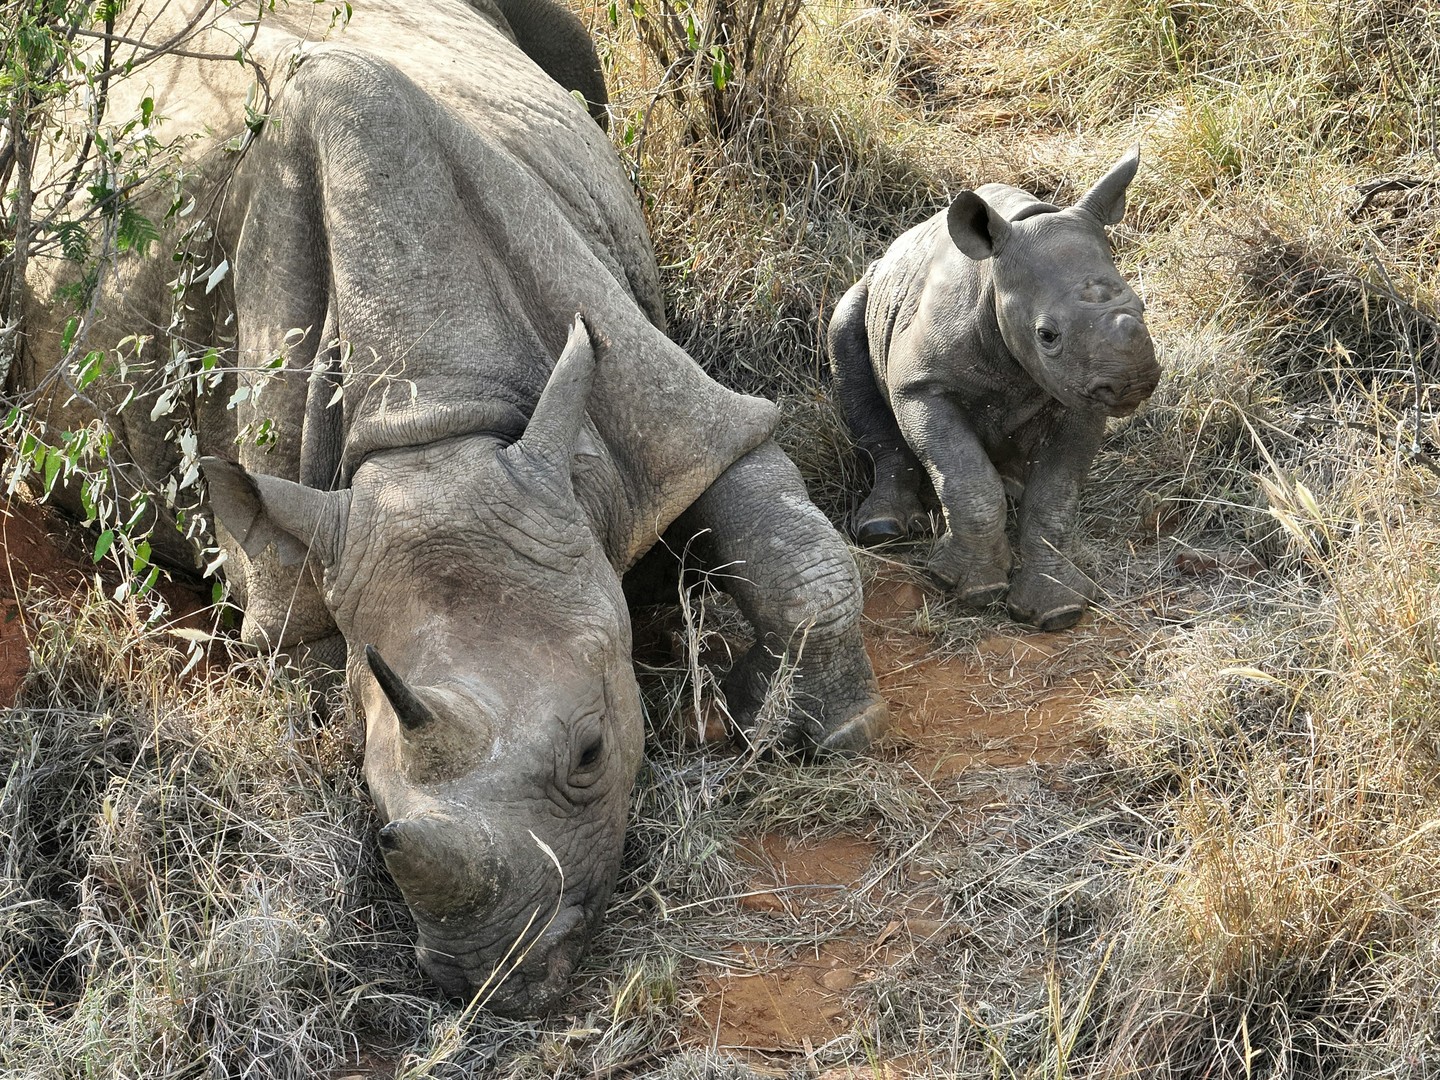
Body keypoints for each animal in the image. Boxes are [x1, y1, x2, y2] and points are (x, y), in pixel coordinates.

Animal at [22, 0, 886, 1015]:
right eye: (374, 802)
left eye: (593, 752)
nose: (492, 978)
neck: (433, 429)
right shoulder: (304, 567)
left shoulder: (667, 404)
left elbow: (787, 544)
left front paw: (812, 731)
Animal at [827, 152, 1160, 630]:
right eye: (1046, 335)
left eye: (1143, 308)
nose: (1132, 381)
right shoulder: (921, 386)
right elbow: (965, 475)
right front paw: (970, 588)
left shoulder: (1079, 397)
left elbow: (1056, 496)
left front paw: (1057, 611)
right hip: (866, 295)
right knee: (845, 337)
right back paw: (883, 531)